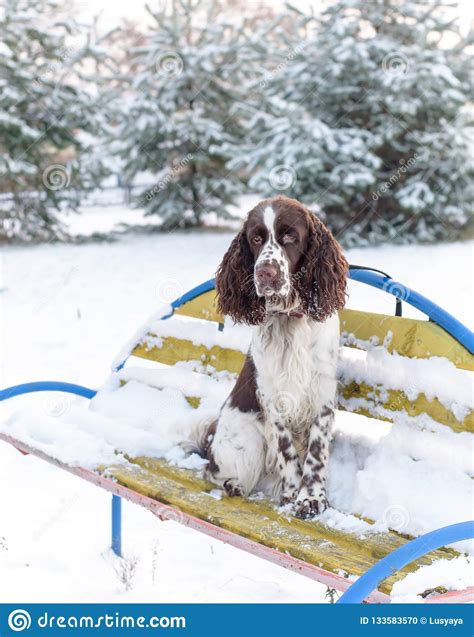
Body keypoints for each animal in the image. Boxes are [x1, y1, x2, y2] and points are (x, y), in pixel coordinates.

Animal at [200, 194, 348, 516]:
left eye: (290, 236)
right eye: (255, 238)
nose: (265, 273)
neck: (290, 317)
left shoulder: (322, 393)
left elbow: (316, 452)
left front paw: (312, 497)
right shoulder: (272, 395)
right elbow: (286, 450)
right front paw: (293, 494)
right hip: (248, 443)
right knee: (212, 471)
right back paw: (234, 485)